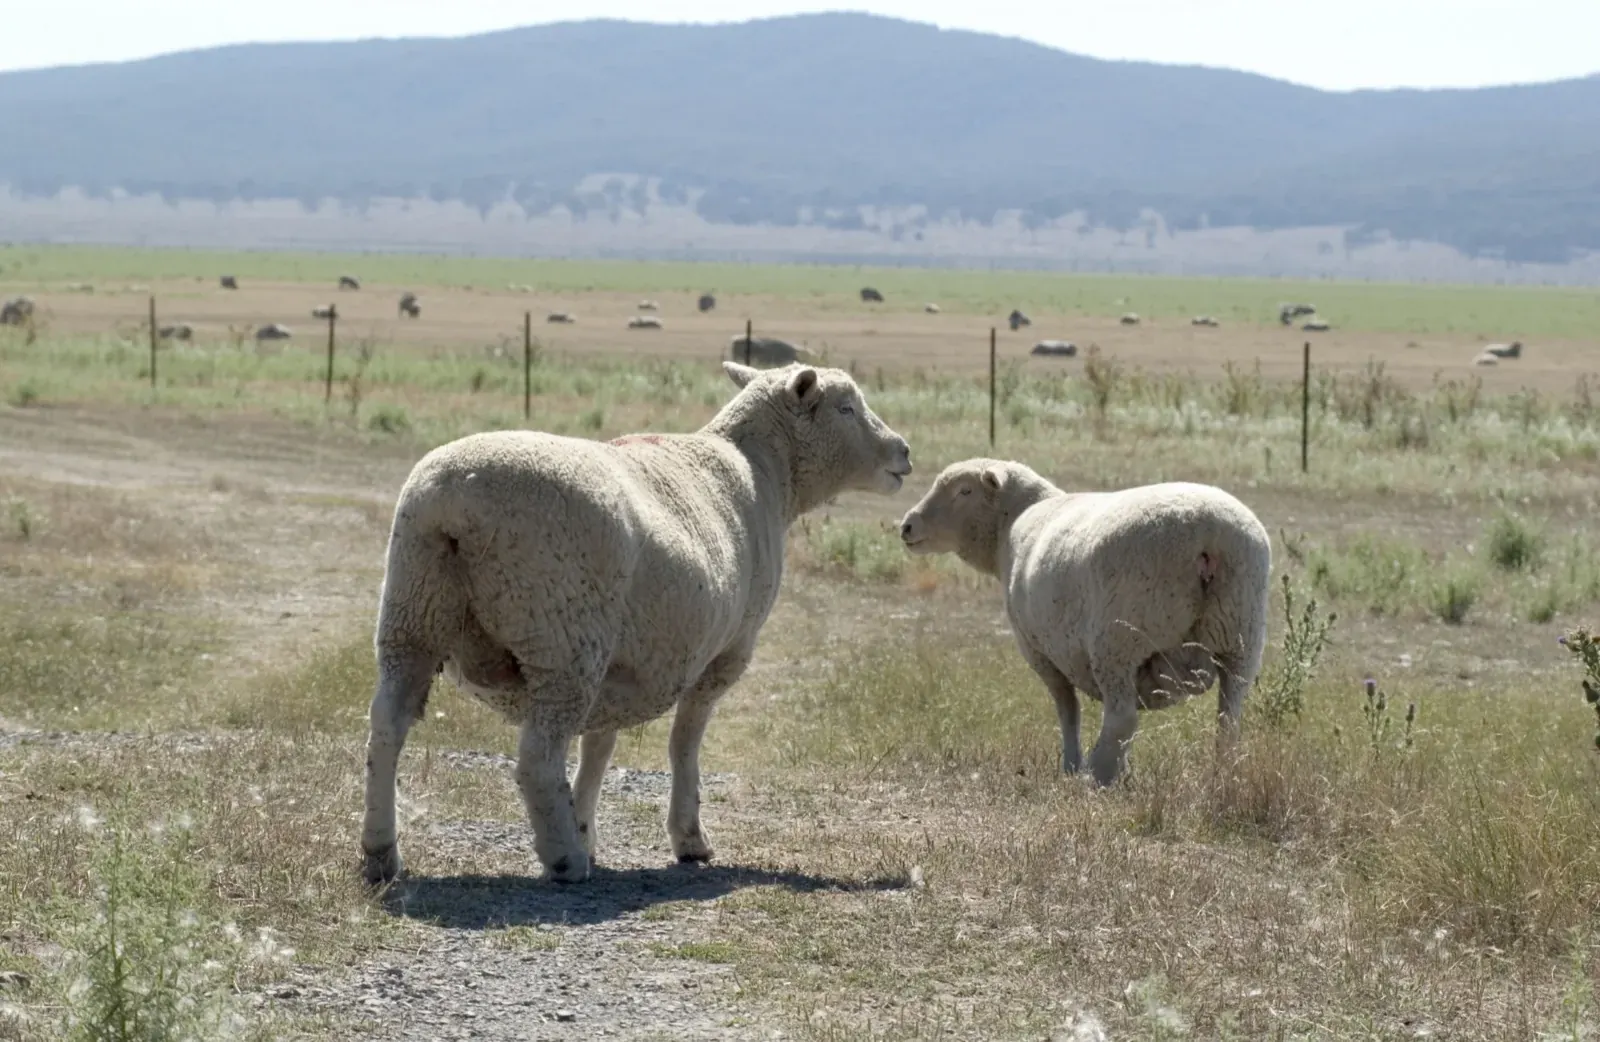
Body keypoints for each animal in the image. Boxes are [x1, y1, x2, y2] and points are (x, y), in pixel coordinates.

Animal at [360, 361, 914, 884]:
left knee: (387, 726)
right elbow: (684, 743)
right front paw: (687, 837)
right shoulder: (723, 653)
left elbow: (598, 747)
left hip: (413, 613)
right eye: (846, 408)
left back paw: (381, 853)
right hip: (563, 639)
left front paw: (586, 825)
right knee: (538, 757)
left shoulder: (622, 661)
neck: (763, 471)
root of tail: (453, 502)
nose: (904, 452)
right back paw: (563, 858)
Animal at [898, 460, 1271, 787]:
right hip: (1241, 637)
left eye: (964, 491)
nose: (906, 526)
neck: (1013, 523)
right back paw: (1222, 777)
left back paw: (1097, 773)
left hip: (1118, 640)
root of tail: (1209, 538)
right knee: (1228, 720)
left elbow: (1067, 710)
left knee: (1122, 718)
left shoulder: (1039, 651)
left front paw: (1071, 764)